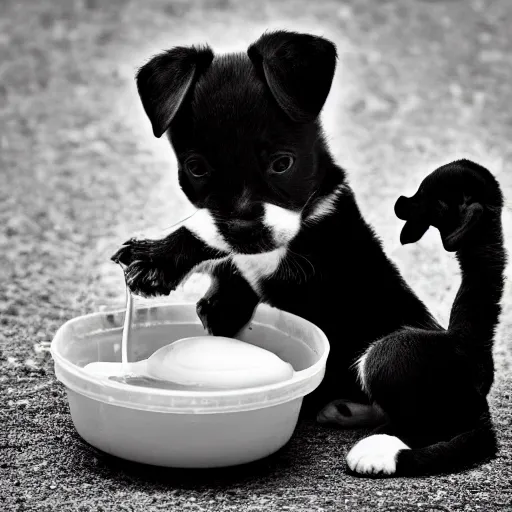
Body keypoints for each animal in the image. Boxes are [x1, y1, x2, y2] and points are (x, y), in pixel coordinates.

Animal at [110, 31, 506, 480]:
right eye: (196, 168)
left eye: (283, 163)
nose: (246, 232)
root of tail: (473, 353)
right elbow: (221, 239)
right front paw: (212, 294)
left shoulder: (307, 260)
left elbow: (214, 230)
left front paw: (155, 258)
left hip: (395, 353)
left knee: (463, 432)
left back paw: (382, 449)